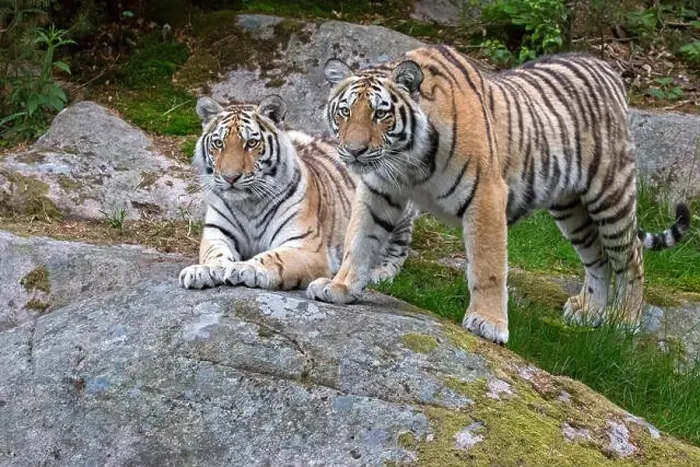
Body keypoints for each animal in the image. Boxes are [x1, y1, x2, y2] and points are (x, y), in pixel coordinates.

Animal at [179, 94, 416, 292]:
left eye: (251, 143)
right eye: (218, 144)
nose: (230, 178)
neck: (249, 204)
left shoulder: (306, 247)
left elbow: (274, 258)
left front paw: (245, 268)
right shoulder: (217, 233)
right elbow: (215, 254)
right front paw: (202, 271)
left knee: (398, 247)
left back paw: (380, 273)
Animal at [306, 45, 691, 344]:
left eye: (380, 114)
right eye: (345, 112)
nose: (354, 151)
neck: (407, 161)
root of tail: (607, 67)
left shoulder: (485, 194)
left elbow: (488, 265)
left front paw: (487, 323)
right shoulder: (378, 189)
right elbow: (359, 241)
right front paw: (340, 287)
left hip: (609, 194)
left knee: (631, 255)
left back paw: (625, 322)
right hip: (570, 208)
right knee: (597, 258)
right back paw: (589, 311)